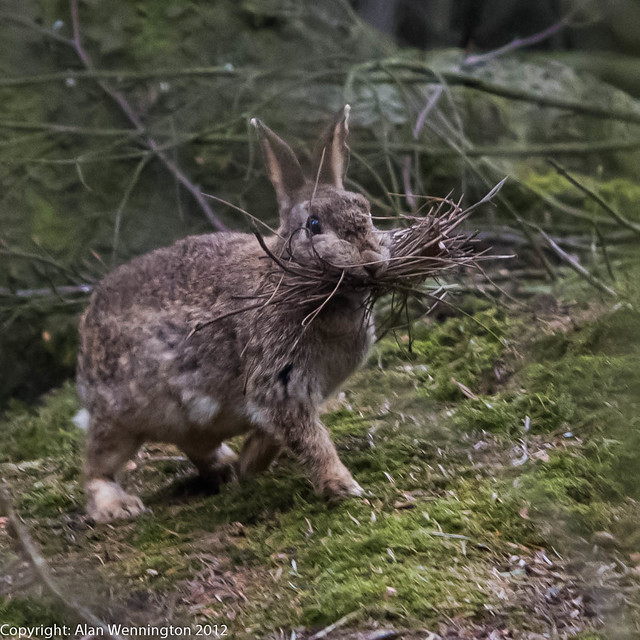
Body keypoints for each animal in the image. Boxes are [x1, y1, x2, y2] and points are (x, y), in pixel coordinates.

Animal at [76, 105, 390, 523]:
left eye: (367, 210)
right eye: (314, 224)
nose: (371, 262)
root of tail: (86, 329)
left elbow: (277, 434)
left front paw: (249, 466)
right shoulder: (280, 380)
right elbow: (309, 439)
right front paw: (342, 487)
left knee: (197, 446)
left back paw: (227, 469)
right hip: (119, 419)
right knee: (98, 464)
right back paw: (118, 506)